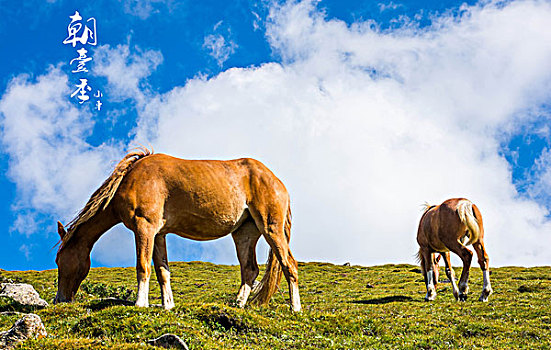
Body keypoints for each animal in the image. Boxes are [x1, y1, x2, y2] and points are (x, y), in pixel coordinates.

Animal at [53, 148, 302, 312]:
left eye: (59, 260)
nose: (59, 299)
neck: (132, 179)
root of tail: (277, 182)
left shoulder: (144, 227)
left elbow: (143, 266)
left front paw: (140, 303)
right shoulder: (158, 234)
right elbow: (162, 271)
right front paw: (168, 306)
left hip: (271, 228)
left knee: (289, 265)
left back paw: (295, 309)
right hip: (244, 233)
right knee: (249, 270)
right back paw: (238, 305)